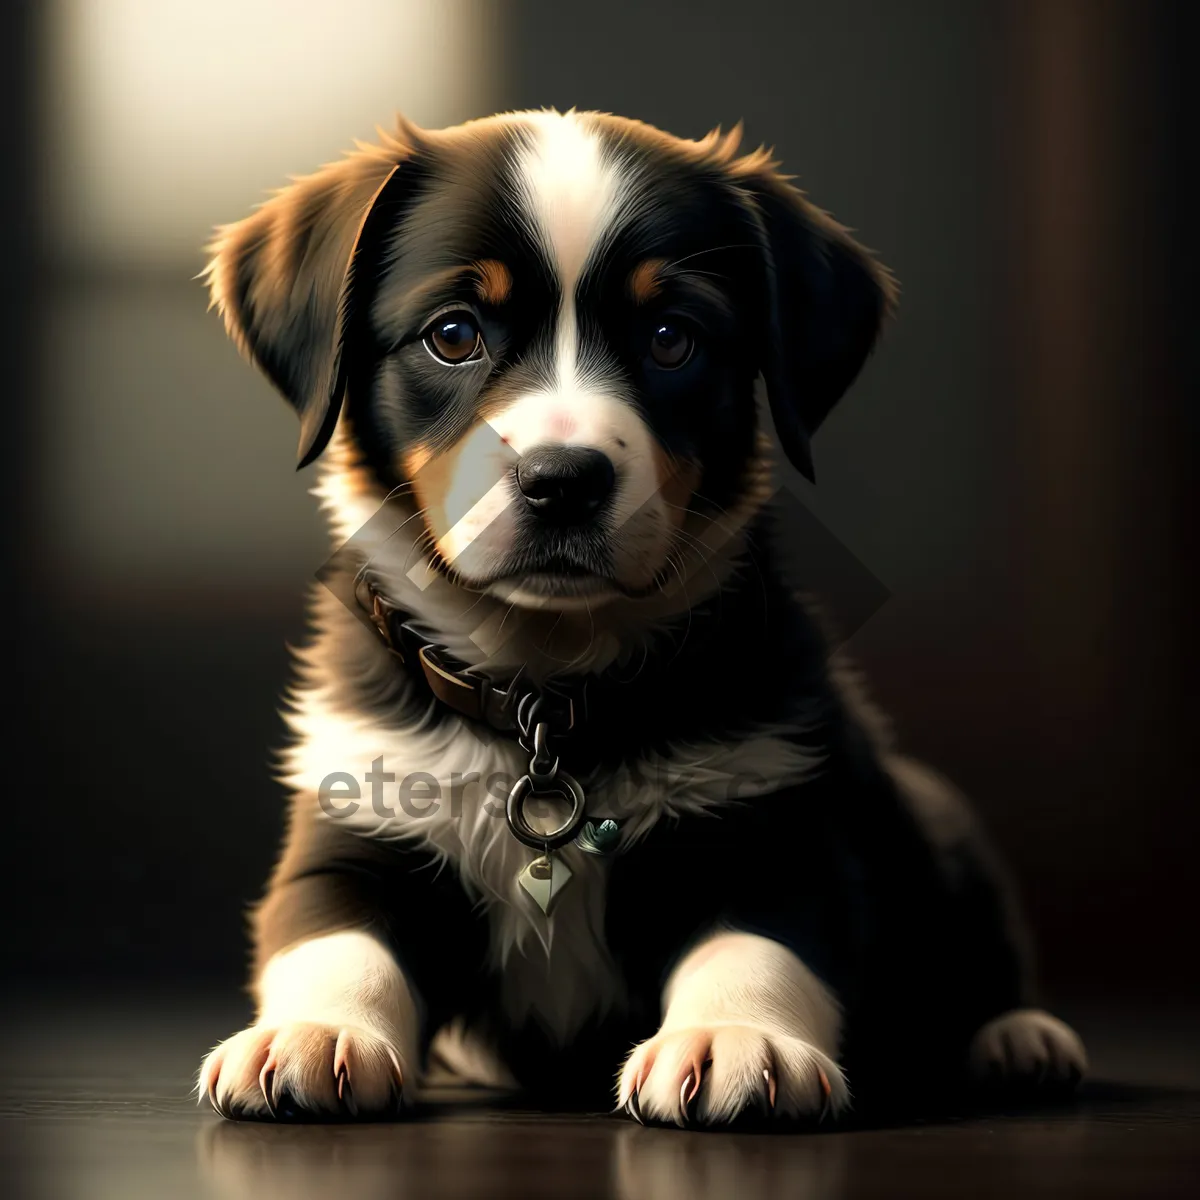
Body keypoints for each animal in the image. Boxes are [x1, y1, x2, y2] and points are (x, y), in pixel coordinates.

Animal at [196, 110, 1089, 1123]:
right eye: (453, 335)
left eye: (671, 339)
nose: (561, 481)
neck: (548, 691)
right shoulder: (361, 813)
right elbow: (332, 939)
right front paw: (314, 1032)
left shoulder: (775, 822)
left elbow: (757, 949)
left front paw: (737, 1039)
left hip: (942, 830)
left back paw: (1018, 1039)